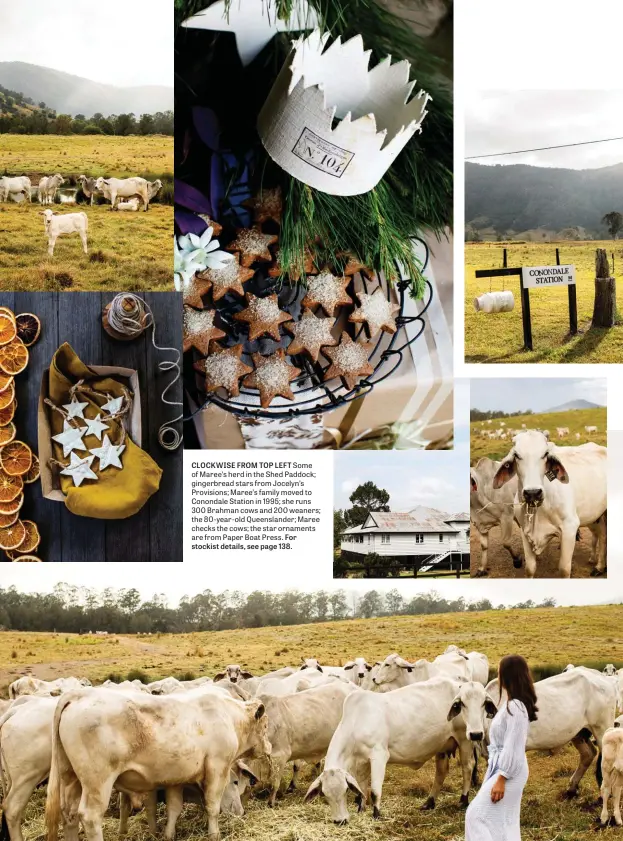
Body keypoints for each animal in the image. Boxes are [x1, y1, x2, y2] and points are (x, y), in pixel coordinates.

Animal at [304, 672, 498, 824]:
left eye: (345, 791)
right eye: (325, 795)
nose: (340, 821)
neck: (356, 720)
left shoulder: (379, 755)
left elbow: (375, 791)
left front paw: (376, 814)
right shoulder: (363, 762)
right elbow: (362, 787)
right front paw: (361, 808)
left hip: (465, 739)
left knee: (468, 767)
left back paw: (463, 800)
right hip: (442, 745)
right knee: (441, 771)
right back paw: (429, 802)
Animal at [494, 434, 608, 576]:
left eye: (545, 454)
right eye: (517, 455)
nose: (533, 493)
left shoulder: (569, 528)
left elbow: (564, 569)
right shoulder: (524, 530)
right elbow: (530, 568)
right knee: (603, 534)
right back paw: (600, 566)